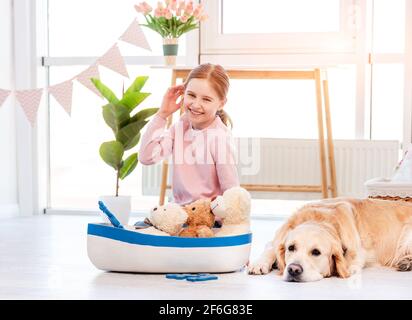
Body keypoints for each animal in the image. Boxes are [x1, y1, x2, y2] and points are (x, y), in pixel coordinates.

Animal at [248, 199, 412, 282]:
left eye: (316, 252)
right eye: (291, 248)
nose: (293, 269)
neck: (319, 219)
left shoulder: (358, 251)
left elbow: (351, 262)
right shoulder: (278, 238)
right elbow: (270, 248)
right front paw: (259, 264)